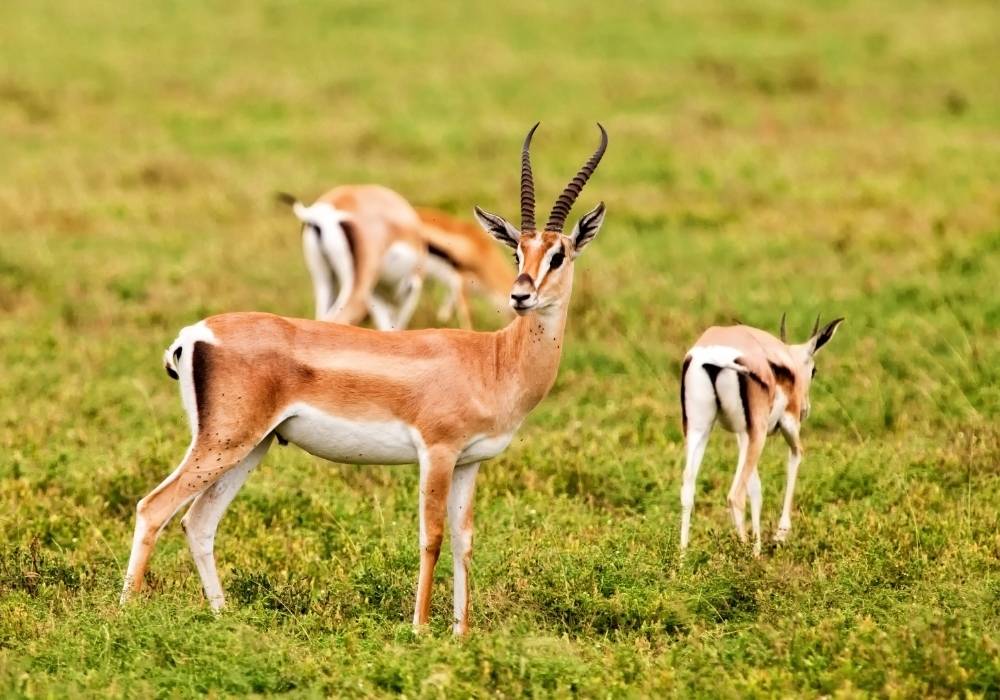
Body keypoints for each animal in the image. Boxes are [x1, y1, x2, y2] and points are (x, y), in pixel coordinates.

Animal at [120, 123, 609, 635]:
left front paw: (461, 634)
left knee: (198, 521)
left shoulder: (470, 462)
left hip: (251, 446)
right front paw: (419, 629)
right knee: (153, 507)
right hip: (224, 443)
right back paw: (126, 612)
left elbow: (464, 540)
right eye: (518, 251)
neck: (492, 360)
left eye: (558, 255)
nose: (520, 295)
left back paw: (224, 616)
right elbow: (432, 536)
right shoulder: (436, 453)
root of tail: (193, 333)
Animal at [679, 315, 844, 555]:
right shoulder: (786, 425)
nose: (805, 409)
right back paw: (745, 553)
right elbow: (796, 457)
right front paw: (779, 536)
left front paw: (758, 547)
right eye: (814, 371)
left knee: (688, 488)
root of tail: (713, 356)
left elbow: (755, 488)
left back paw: (682, 558)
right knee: (735, 495)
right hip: (758, 433)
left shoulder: (742, 434)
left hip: (699, 429)